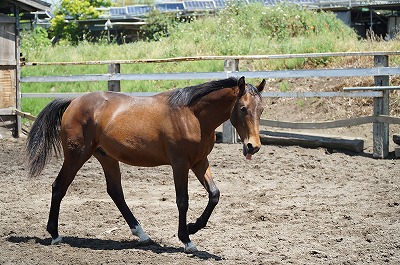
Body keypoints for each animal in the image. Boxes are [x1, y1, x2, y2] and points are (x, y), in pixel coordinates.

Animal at [25, 76, 266, 252]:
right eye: (243, 108)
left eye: (261, 109)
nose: (253, 146)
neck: (193, 116)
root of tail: (73, 102)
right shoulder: (180, 164)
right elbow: (182, 201)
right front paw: (186, 239)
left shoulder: (199, 161)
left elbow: (214, 194)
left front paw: (193, 227)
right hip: (76, 155)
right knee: (59, 187)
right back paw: (55, 235)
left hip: (107, 157)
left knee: (115, 192)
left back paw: (142, 234)